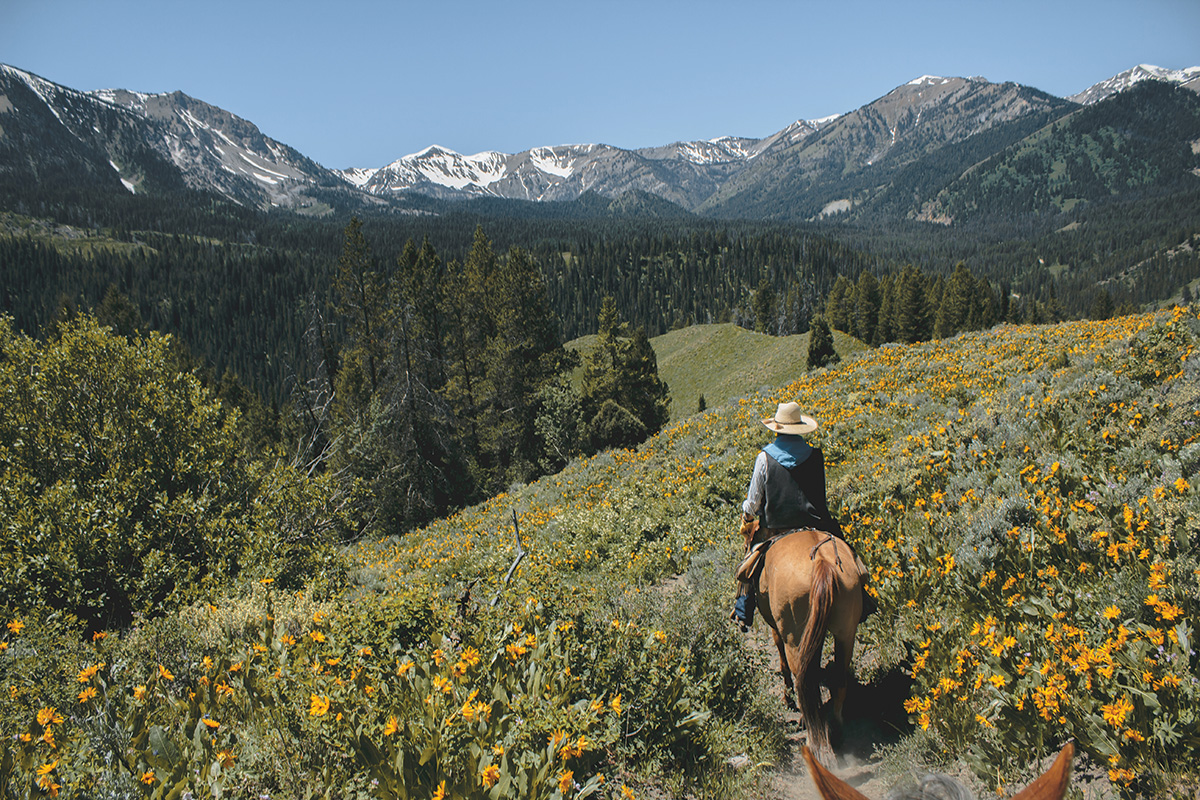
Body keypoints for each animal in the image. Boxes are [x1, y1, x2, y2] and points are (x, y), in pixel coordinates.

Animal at [739, 520, 864, 762]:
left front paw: (787, 700)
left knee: (804, 680)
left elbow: (782, 662)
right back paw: (836, 732)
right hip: (846, 631)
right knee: (838, 678)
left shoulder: (778, 630)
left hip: (794, 636)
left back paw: (813, 736)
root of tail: (822, 563)